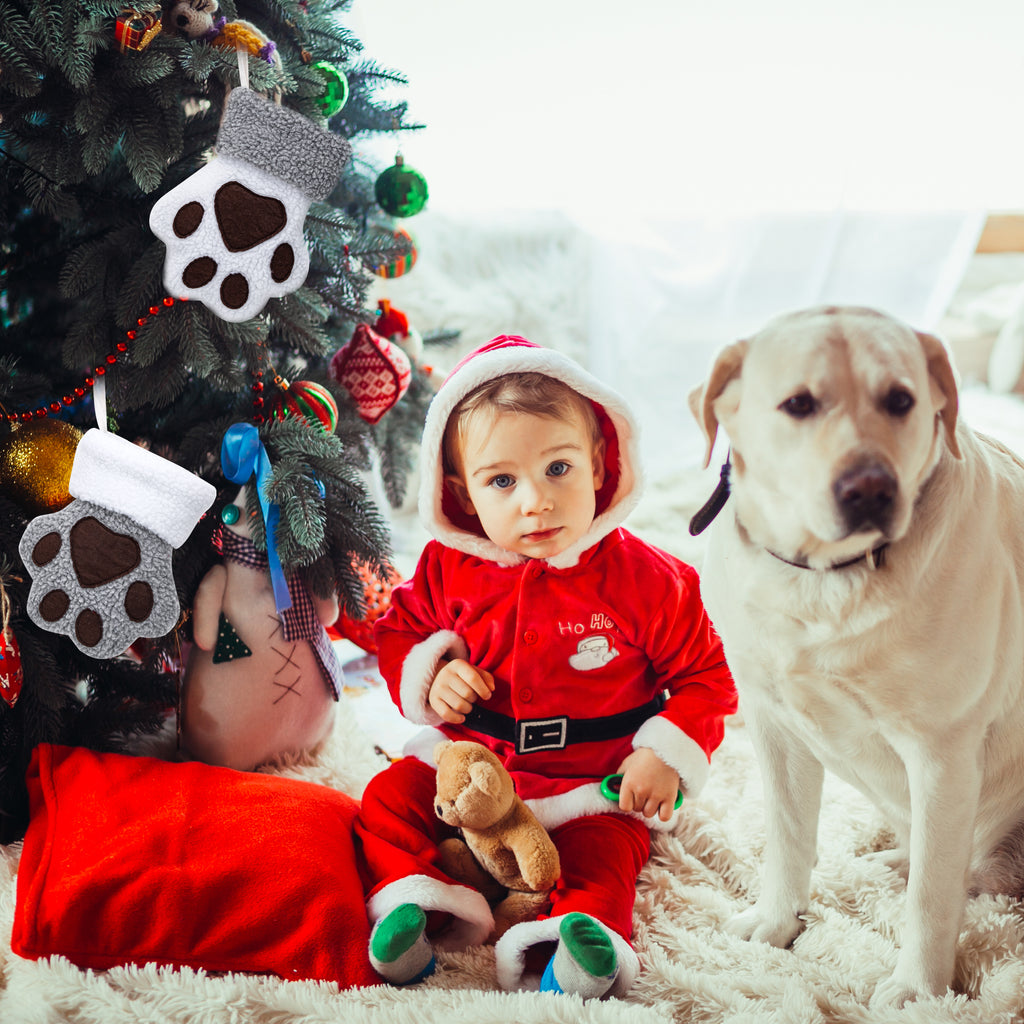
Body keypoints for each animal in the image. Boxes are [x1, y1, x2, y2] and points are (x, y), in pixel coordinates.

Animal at [688, 305, 1024, 1007]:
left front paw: (921, 989)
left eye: (900, 400)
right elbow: (788, 838)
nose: (869, 488)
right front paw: (777, 921)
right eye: (798, 404)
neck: (827, 579)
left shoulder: (942, 754)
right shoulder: (774, 723)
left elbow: (932, 898)